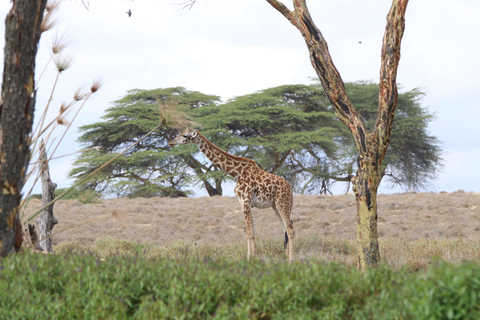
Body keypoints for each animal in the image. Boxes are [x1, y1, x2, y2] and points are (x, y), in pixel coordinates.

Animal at [171, 126, 294, 262]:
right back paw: (286, 258)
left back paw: (291, 261)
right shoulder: (244, 203)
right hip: (275, 206)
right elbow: (252, 232)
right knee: (285, 229)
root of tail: (290, 189)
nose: (170, 143)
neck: (236, 173)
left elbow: (248, 232)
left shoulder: (245, 201)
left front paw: (250, 260)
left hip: (282, 203)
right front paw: (252, 258)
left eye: (184, 135)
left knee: (290, 229)